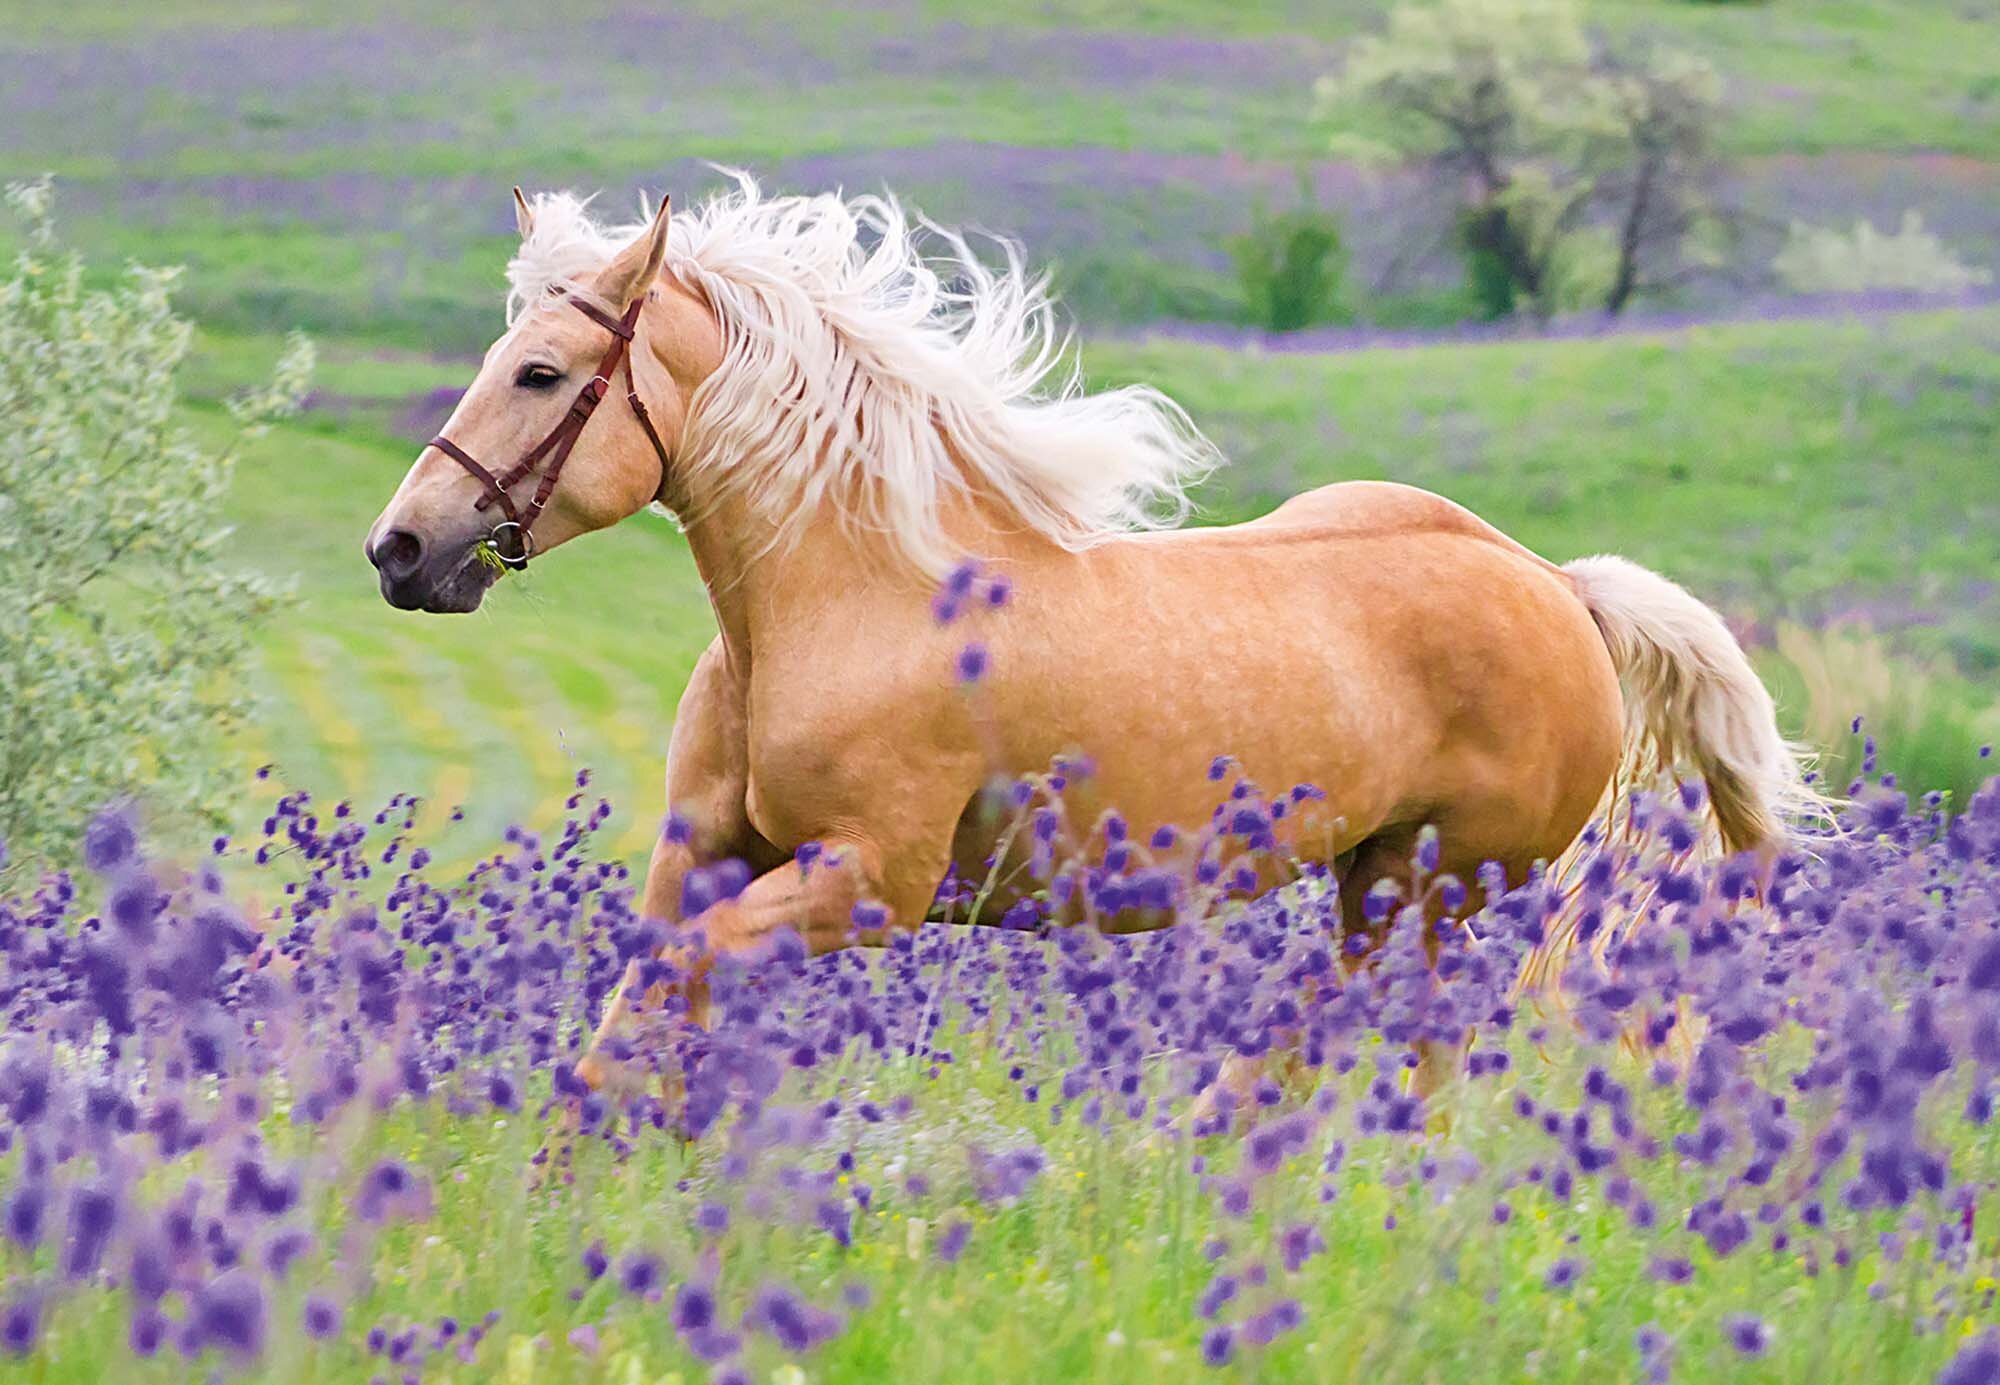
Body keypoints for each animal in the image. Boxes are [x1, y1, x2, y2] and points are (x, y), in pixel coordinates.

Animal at [364, 173, 1824, 1106]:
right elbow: (633, 1020)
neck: (847, 600)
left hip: (1443, 887)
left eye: (541, 374)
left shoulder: (869, 882)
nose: (403, 549)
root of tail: (1554, 586)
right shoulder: (709, 859)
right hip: (1376, 879)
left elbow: (676, 998)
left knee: (1399, 1045)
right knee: (1341, 1036)